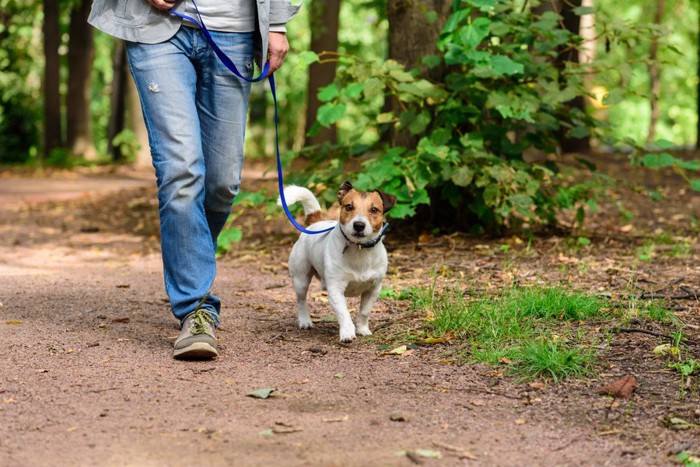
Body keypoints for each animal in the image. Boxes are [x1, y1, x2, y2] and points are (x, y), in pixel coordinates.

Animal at [280, 181, 400, 342]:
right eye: (349, 207)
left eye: (374, 210)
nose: (359, 225)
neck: (359, 250)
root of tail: (316, 222)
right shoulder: (336, 289)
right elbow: (344, 313)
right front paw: (347, 333)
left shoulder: (373, 289)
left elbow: (364, 311)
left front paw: (362, 329)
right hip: (301, 279)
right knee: (301, 301)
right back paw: (305, 321)